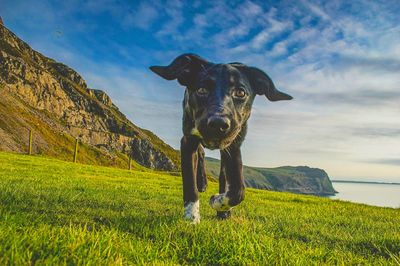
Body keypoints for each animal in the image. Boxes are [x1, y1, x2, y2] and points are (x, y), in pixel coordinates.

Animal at [149, 53, 290, 222]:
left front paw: (219, 204)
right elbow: (189, 184)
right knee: (201, 154)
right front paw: (192, 218)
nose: (218, 124)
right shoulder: (188, 140)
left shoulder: (233, 145)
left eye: (240, 93)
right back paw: (202, 182)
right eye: (202, 89)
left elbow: (237, 190)